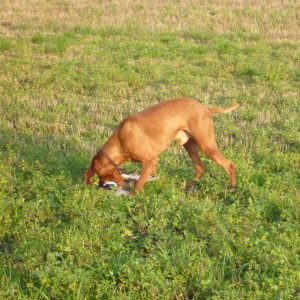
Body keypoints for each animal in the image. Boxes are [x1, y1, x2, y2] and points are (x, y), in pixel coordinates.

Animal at [84, 97, 239, 193]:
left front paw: (131, 197)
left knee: (230, 165)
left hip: (206, 145)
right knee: (200, 167)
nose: (103, 186)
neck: (120, 139)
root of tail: (205, 108)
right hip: (189, 145)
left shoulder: (150, 160)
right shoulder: (151, 165)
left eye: (99, 176)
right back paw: (189, 186)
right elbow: (145, 177)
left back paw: (232, 188)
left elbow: (138, 185)